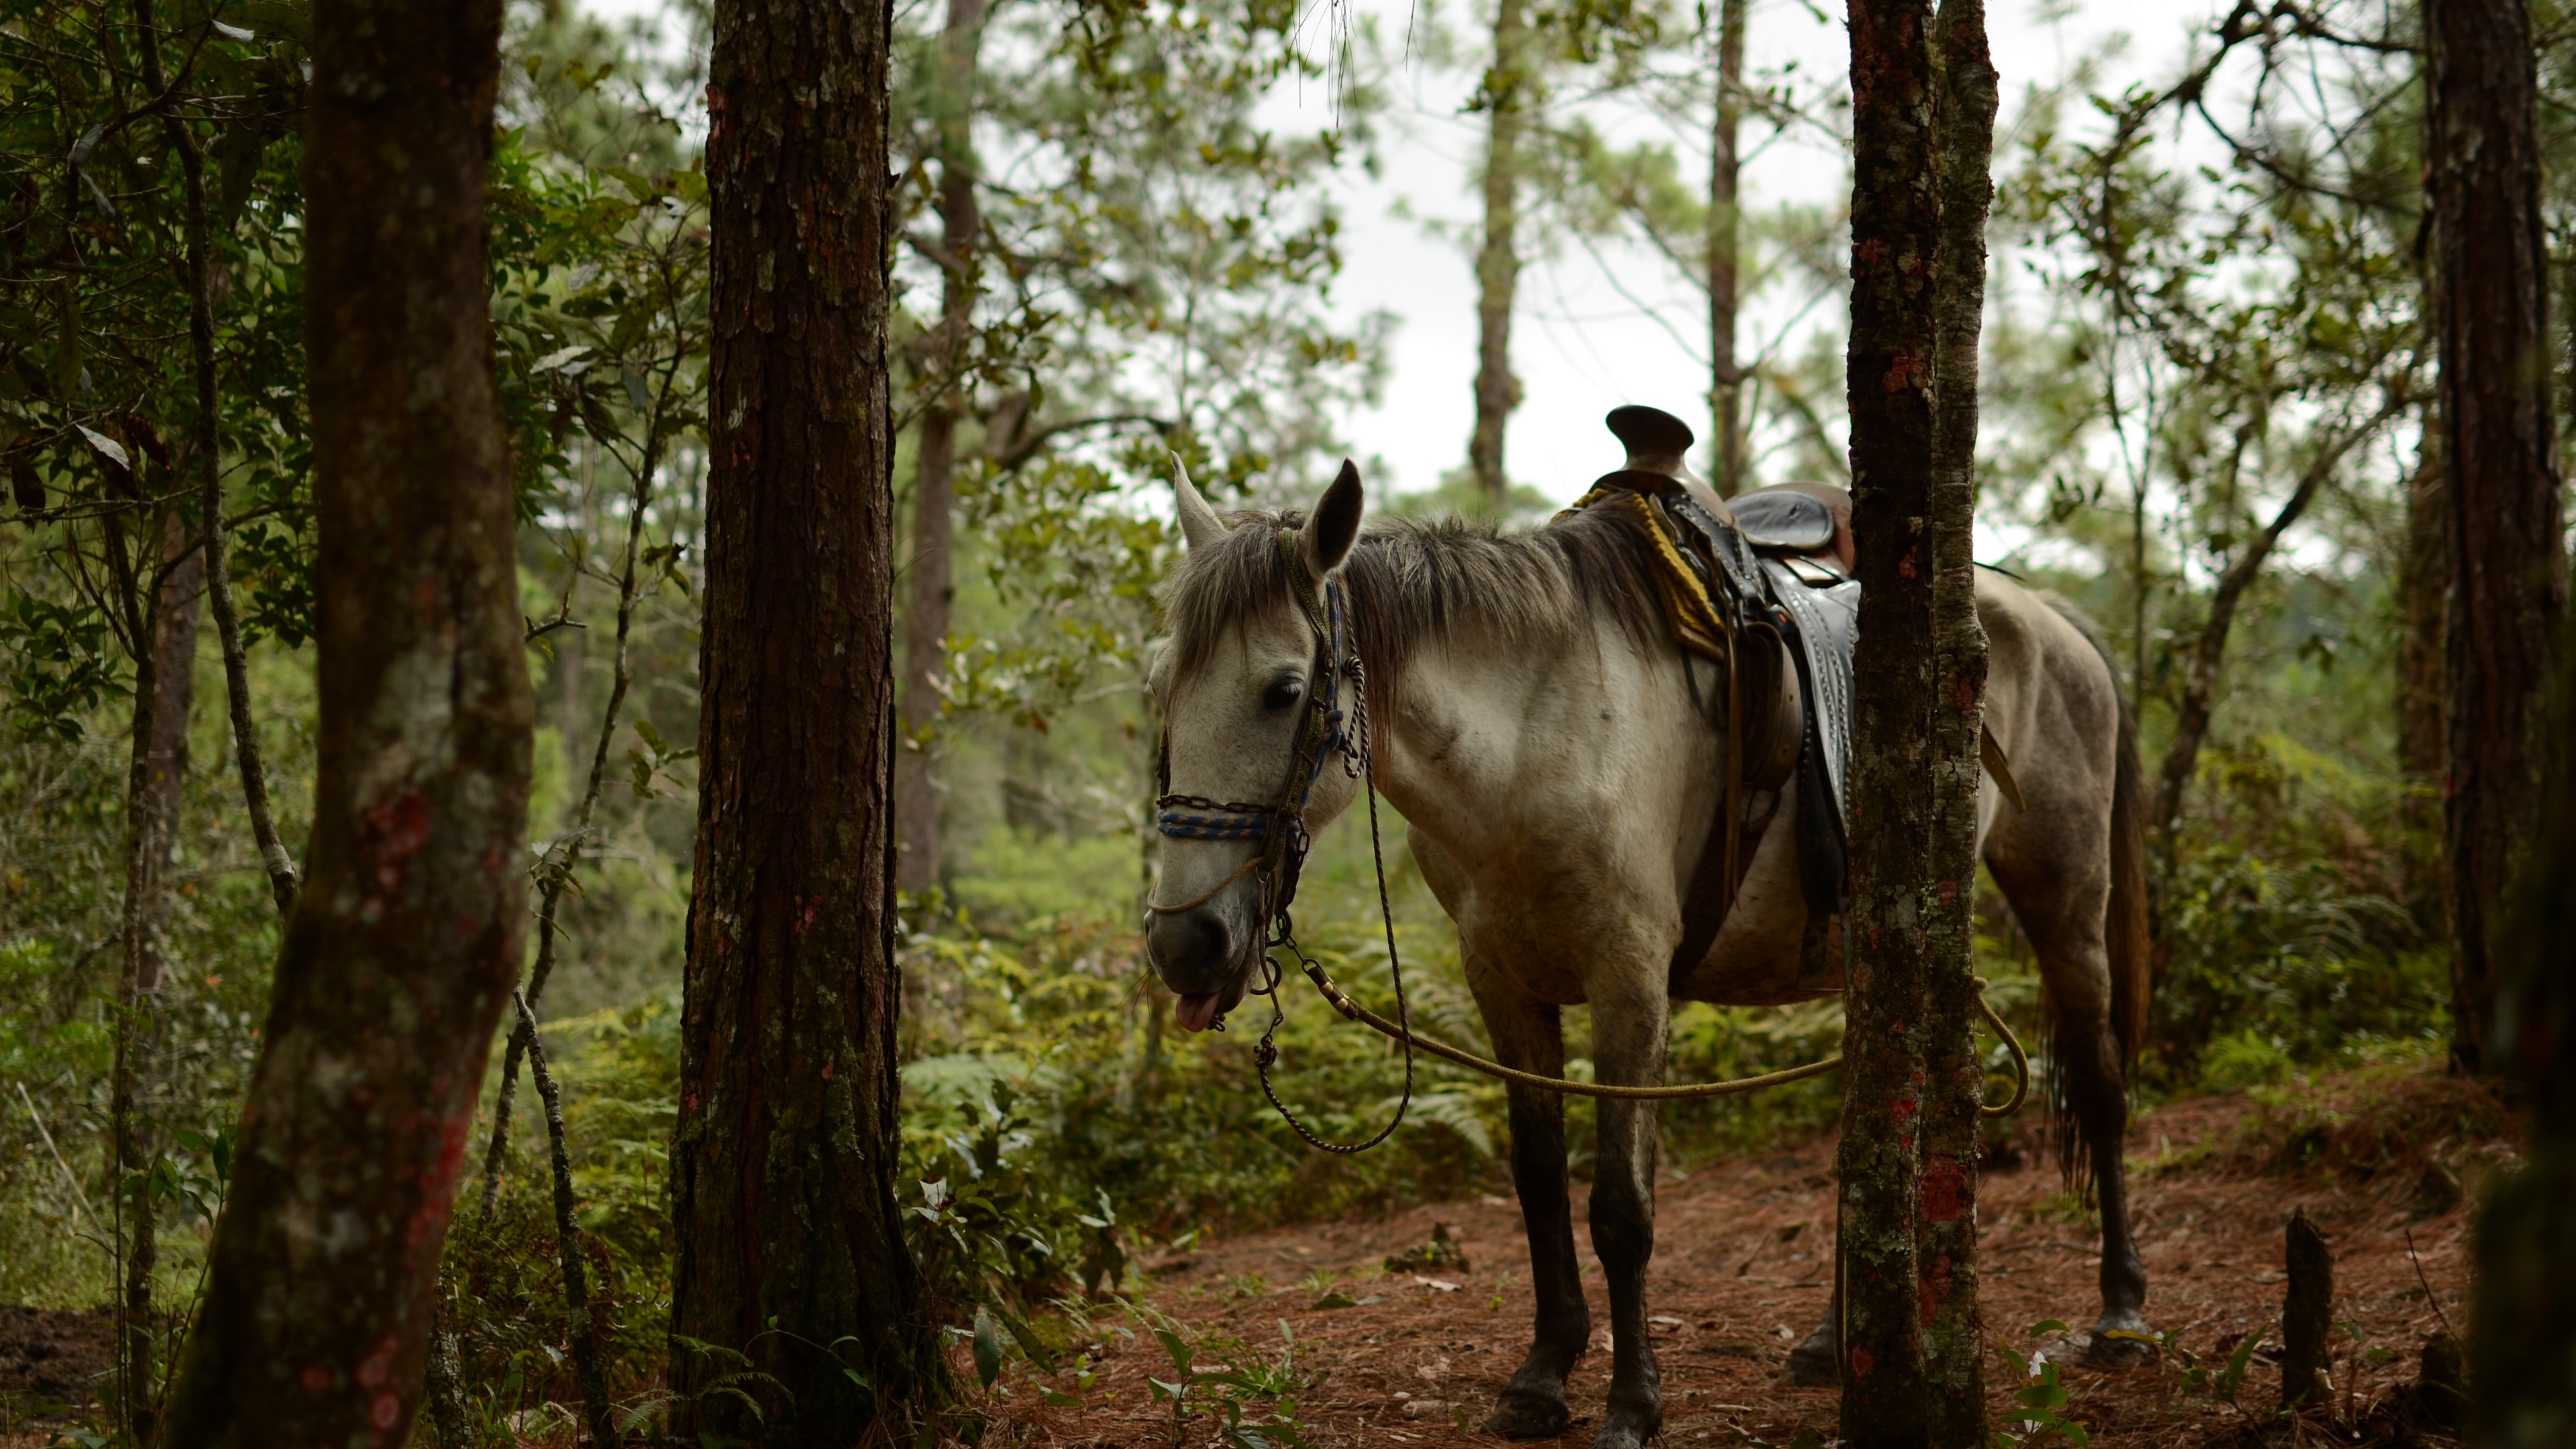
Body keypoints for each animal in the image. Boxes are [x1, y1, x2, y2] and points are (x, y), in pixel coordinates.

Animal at [1148, 445, 2153, 1433]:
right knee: (1874, 1143)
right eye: (1160, 689)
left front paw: (1633, 1401)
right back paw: (1836, 1344)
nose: (1184, 944)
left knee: (2101, 1089)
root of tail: (2047, 615)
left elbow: (1621, 1208)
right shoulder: (1503, 985)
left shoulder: (1628, 981)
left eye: (1283, 691)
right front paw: (1543, 1376)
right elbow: (1540, 1183)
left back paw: (2121, 1312)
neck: (1533, 741)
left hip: (2066, 901)